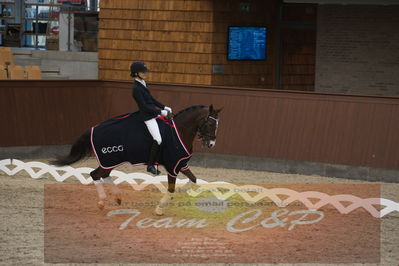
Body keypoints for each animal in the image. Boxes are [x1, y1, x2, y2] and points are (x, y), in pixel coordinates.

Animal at [52, 105, 222, 215]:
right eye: (210, 123)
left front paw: (179, 194)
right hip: (109, 158)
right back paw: (102, 202)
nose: (211, 144)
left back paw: (117, 198)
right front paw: (160, 209)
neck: (180, 131)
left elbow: (193, 180)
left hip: (111, 161)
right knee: (95, 174)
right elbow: (172, 188)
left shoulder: (181, 164)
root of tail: (94, 128)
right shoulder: (172, 166)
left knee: (103, 175)